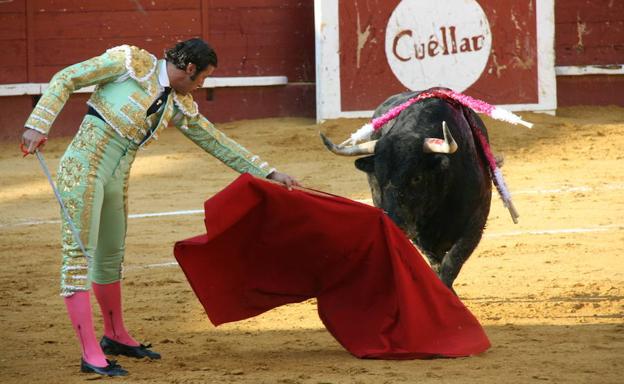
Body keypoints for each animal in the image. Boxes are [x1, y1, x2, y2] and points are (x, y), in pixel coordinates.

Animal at [322, 91, 498, 292]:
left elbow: (452, 261)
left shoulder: (476, 221)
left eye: (416, 178)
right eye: (379, 178)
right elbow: (436, 262)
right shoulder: (420, 233)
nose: (395, 223)